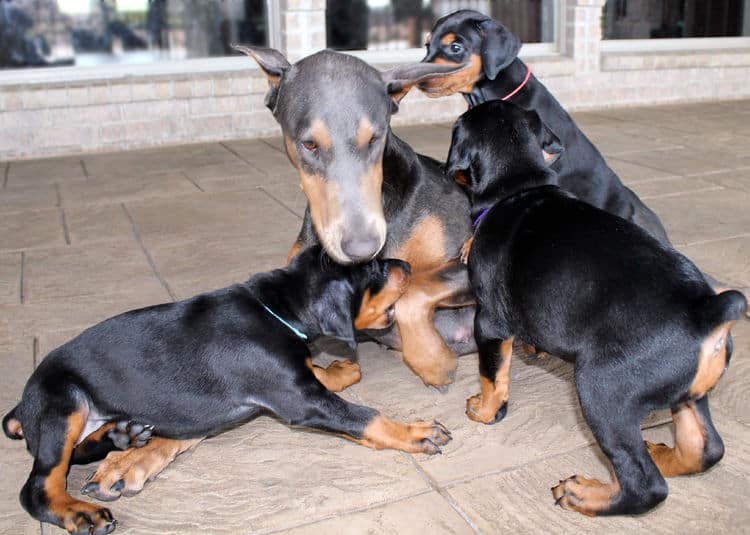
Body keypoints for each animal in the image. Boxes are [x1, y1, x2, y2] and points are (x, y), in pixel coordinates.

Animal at [2, 248, 452, 535]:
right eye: (373, 269)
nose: (406, 263)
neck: (277, 310)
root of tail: (22, 407)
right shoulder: (300, 400)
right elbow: (362, 416)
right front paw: (416, 432)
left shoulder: (295, 381)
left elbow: (324, 373)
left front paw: (339, 366)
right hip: (64, 401)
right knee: (39, 486)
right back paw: (82, 513)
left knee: (78, 451)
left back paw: (122, 436)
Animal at [450, 102, 748, 516]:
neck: (521, 187)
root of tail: (708, 310)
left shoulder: (490, 323)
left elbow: (492, 375)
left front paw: (485, 410)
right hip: (689, 392)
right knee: (705, 448)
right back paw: (665, 455)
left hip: (602, 390)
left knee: (645, 486)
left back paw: (583, 494)